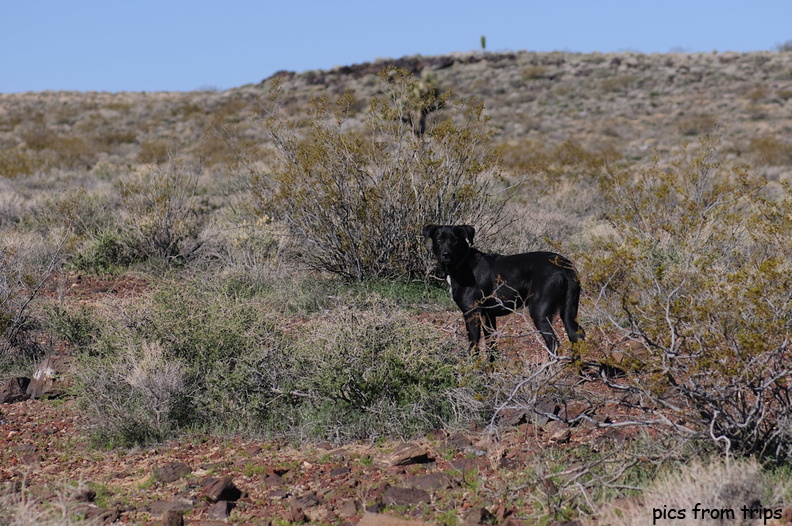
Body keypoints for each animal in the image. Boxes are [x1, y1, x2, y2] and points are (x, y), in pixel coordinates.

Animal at [424, 225, 584, 356]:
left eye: (455, 240)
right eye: (439, 239)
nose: (446, 254)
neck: (463, 264)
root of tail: (564, 265)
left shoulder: (471, 313)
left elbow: (474, 347)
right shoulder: (488, 316)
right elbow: (491, 346)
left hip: (539, 310)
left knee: (553, 343)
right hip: (568, 311)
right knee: (576, 335)